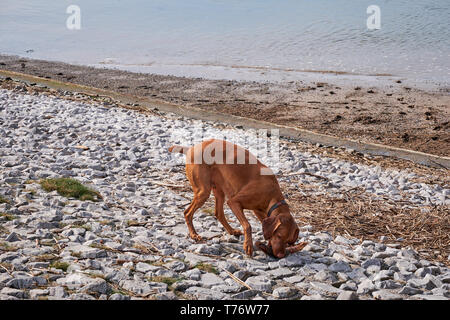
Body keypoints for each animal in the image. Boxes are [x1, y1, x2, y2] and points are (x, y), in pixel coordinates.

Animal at [168, 139, 306, 258]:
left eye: (288, 242)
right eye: (279, 236)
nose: (280, 255)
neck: (272, 194)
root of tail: (191, 148)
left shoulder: (260, 211)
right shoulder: (234, 202)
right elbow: (248, 225)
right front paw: (248, 246)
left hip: (219, 192)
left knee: (218, 213)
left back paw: (231, 231)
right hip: (203, 192)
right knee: (187, 212)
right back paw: (194, 235)